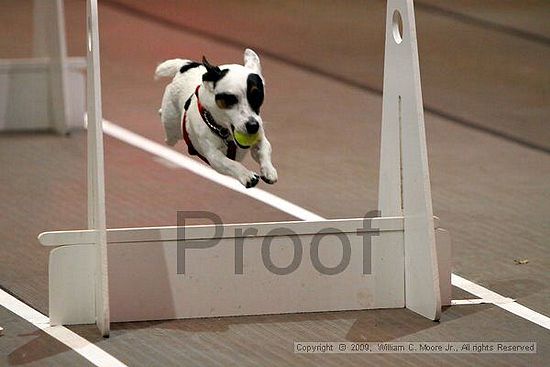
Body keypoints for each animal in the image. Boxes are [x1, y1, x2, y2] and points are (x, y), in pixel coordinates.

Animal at [154, 48, 278, 190]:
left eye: (257, 97)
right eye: (230, 99)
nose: (253, 126)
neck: (226, 133)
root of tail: (186, 66)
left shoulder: (259, 137)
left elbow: (265, 148)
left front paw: (269, 170)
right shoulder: (213, 156)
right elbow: (230, 163)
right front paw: (246, 175)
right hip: (172, 129)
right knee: (168, 130)